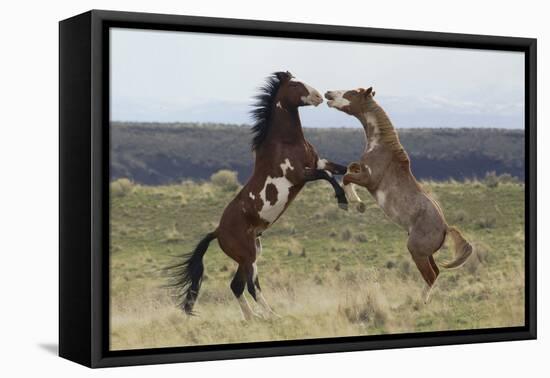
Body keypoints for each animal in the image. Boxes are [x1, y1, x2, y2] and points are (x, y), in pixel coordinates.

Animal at [168, 71, 350, 318]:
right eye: (295, 84)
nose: (319, 96)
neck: (286, 142)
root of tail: (218, 231)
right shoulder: (300, 174)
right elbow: (327, 176)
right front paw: (343, 200)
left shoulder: (318, 162)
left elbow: (343, 169)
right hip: (248, 257)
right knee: (252, 286)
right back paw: (271, 316)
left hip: (250, 255)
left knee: (236, 286)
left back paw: (252, 318)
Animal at [326, 87, 476, 302]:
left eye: (351, 93)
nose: (328, 94)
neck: (380, 147)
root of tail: (446, 228)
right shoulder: (361, 170)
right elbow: (350, 167)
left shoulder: (370, 180)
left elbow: (347, 177)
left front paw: (358, 203)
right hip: (426, 254)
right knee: (436, 272)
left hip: (416, 251)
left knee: (431, 276)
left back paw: (419, 303)